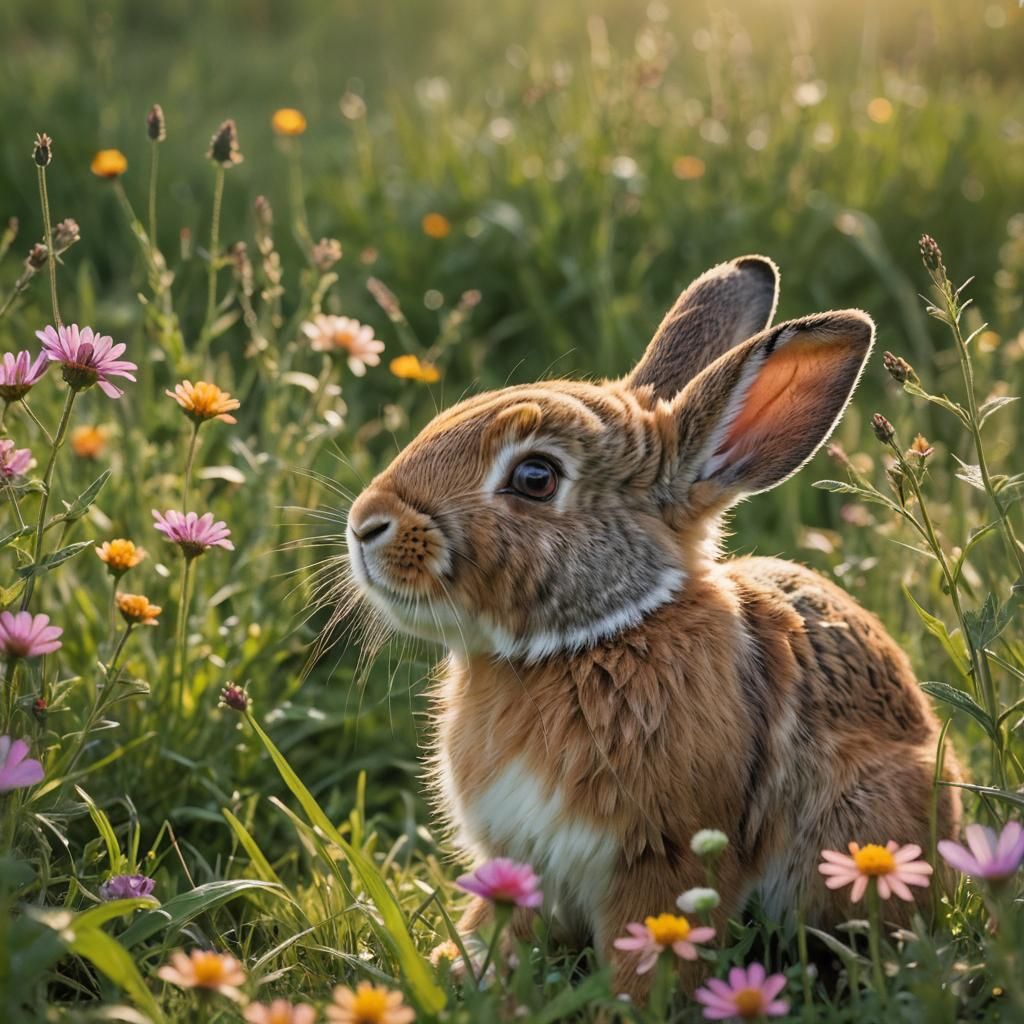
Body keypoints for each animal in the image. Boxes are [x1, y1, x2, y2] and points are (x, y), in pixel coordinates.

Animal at [344, 255, 961, 999]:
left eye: (534, 476)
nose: (364, 525)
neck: (591, 640)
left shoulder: (663, 857)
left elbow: (654, 940)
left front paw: (632, 1002)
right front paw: (462, 965)